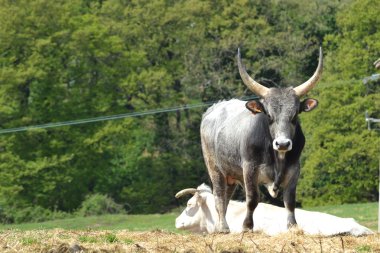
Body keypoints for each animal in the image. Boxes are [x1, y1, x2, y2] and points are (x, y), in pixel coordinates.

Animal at [200, 47, 322, 233]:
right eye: (269, 116)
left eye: (294, 116)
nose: (283, 143)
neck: (278, 157)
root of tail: (214, 108)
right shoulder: (250, 169)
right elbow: (252, 199)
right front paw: (247, 226)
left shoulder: (294, 169)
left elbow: (290, 201)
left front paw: (293, 227)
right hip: (214, 167)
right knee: (219, 195)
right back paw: (223, 227)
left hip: (231, 174)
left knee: (226, 197)